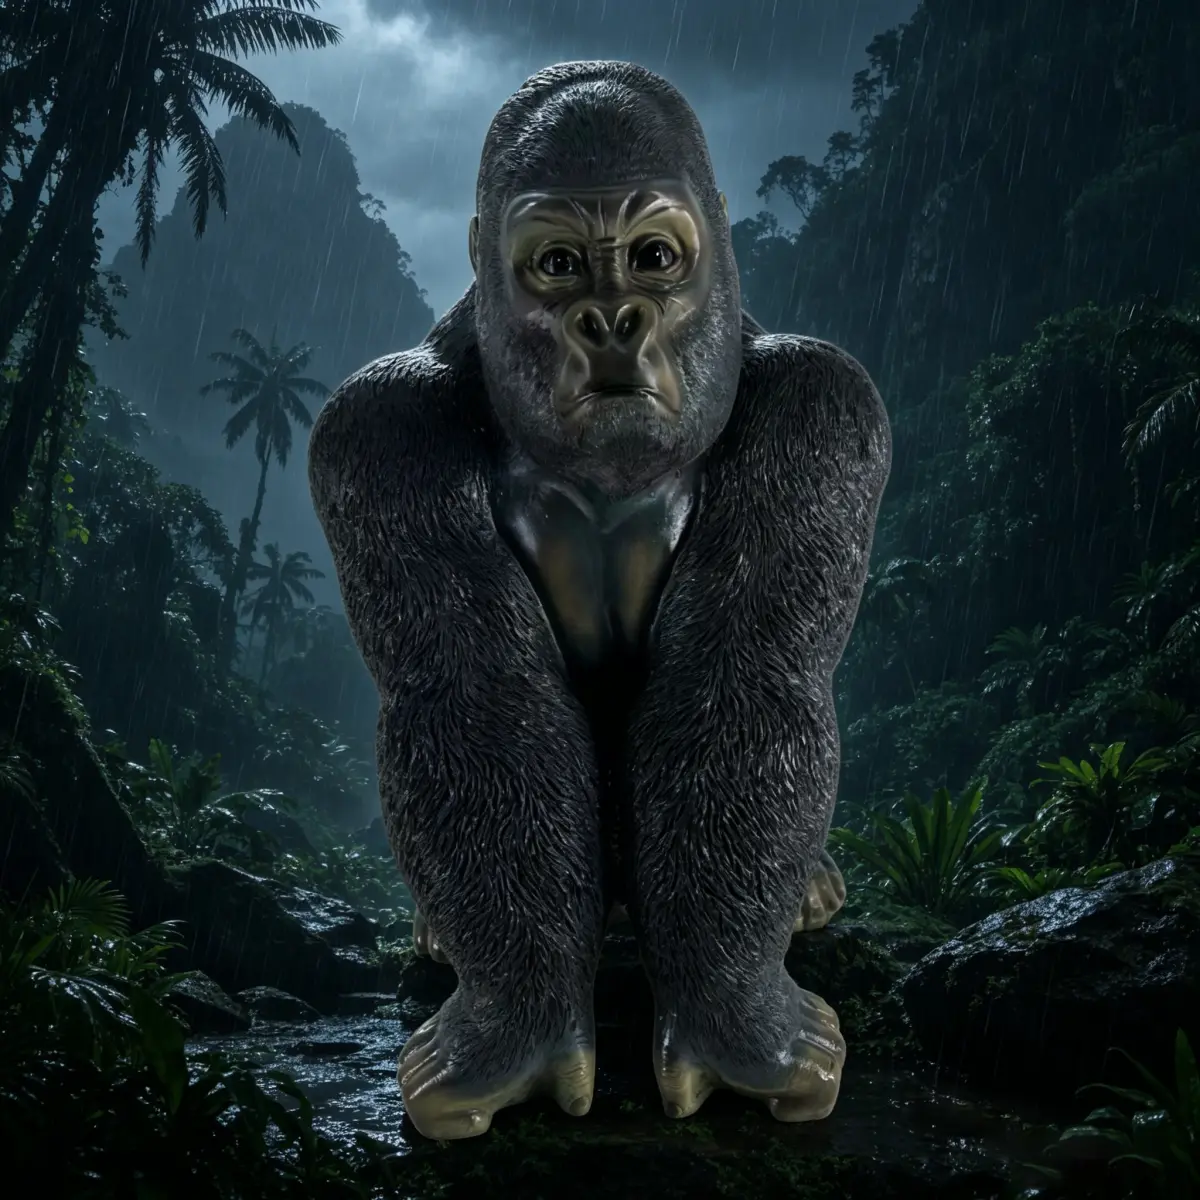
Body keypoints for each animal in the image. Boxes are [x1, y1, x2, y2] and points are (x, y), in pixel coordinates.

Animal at [308, 61, 891, 1141]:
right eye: (559, 265)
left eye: (654, 259)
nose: (613, 322)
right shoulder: (375, 429)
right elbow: (475, 699)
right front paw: (515, 1028)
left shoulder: (828, 405)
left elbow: (743, 679)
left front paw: (737, 1018)